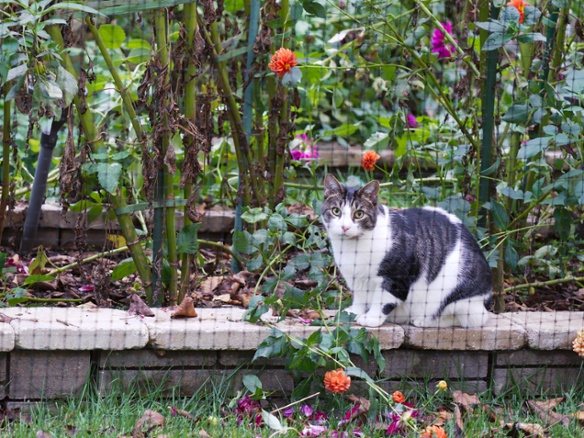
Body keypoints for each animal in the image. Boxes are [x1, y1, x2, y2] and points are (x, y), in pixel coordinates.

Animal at [320, 175, 492, 328]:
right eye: (336, 211)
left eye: (359, 214)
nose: (345, 227)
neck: (351, 248)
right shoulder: (357, 279)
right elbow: (360, 297)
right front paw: (353, 312)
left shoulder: (396, 277)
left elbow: (382, 300)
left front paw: (371, 318)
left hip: (459, 295)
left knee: (468, 319)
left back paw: (424, 321)